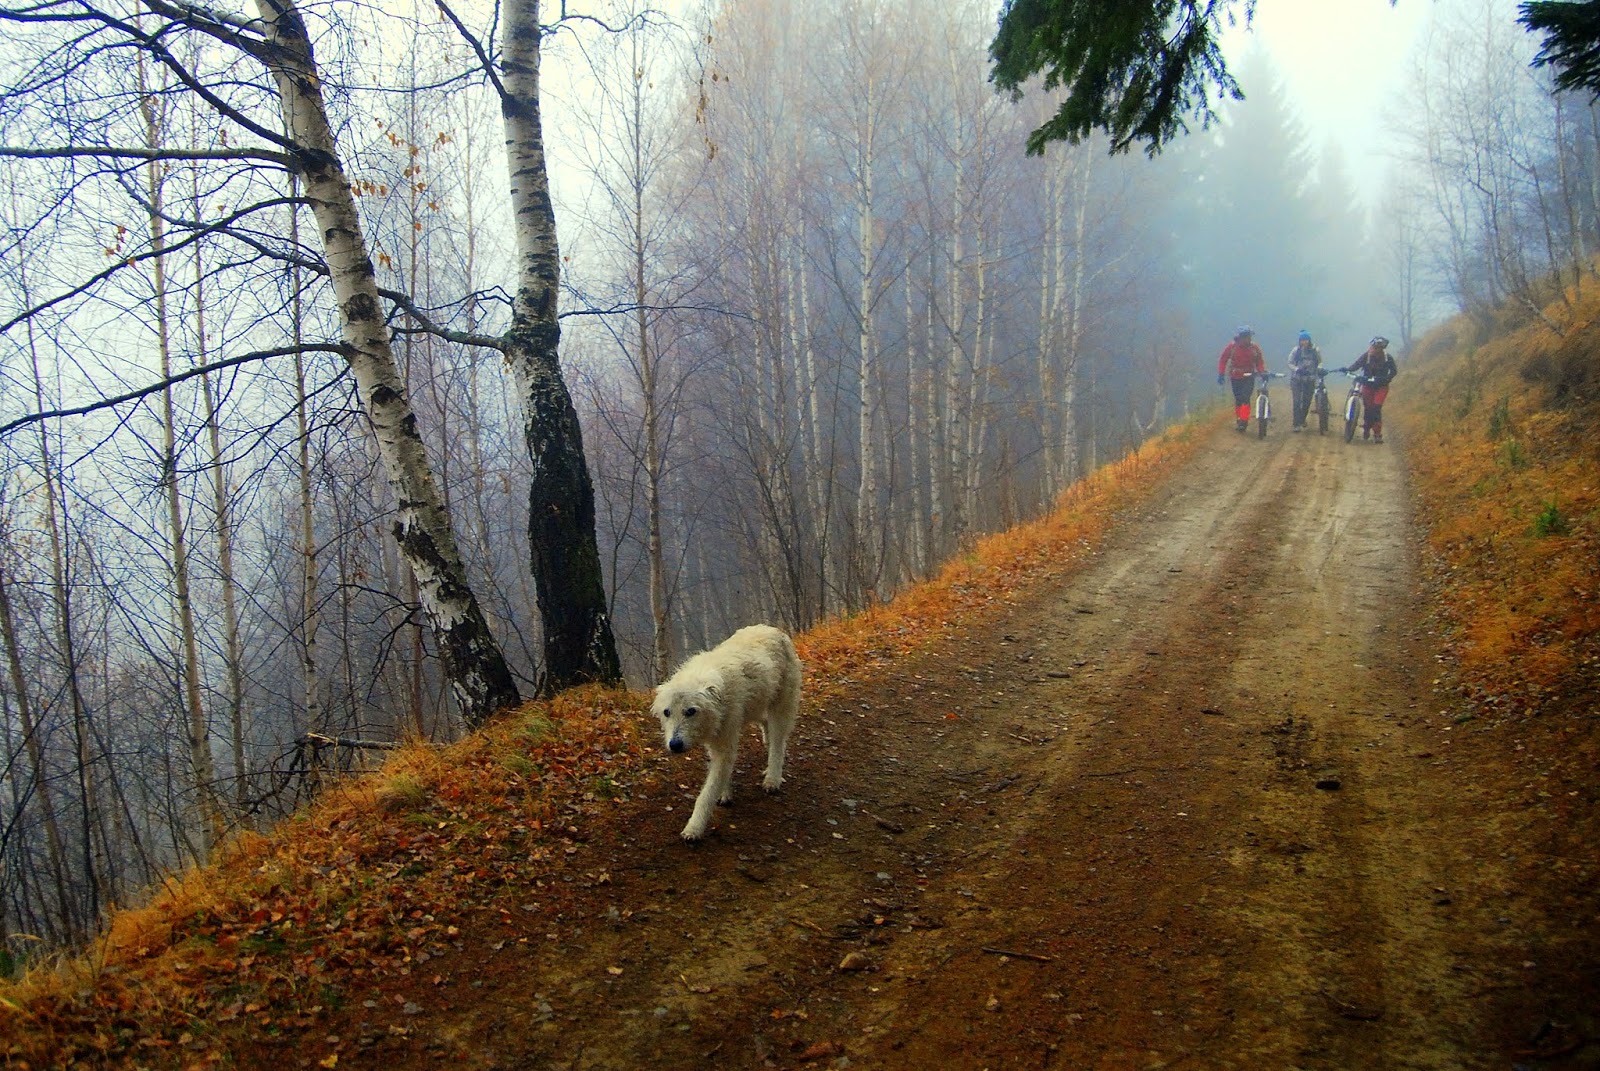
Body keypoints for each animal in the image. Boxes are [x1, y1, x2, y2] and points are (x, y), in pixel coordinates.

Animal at [649, 621, 800, 838]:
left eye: (690, 711)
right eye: (667, 712)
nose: (674, 745)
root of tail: (772, 628)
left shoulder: (725, 744)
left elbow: (706, 794)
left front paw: (693, 828)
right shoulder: (716, 741)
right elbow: (720, 776)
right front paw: (725, 793)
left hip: (780, 706)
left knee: (779, 744)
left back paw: (772, 779)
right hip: (754, 707)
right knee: (766, 725)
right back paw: (767, 741)